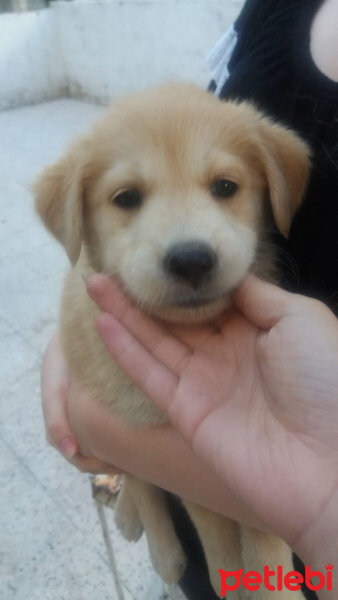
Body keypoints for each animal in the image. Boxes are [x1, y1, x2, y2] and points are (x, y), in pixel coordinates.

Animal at [34, 84, 308, 600]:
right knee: (140, 479)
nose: (191, 260)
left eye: (225, 187)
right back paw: (158, 544)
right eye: (126, 198)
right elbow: (217, 533)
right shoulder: (167, 439)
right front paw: (235, 581)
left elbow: (264, 524)